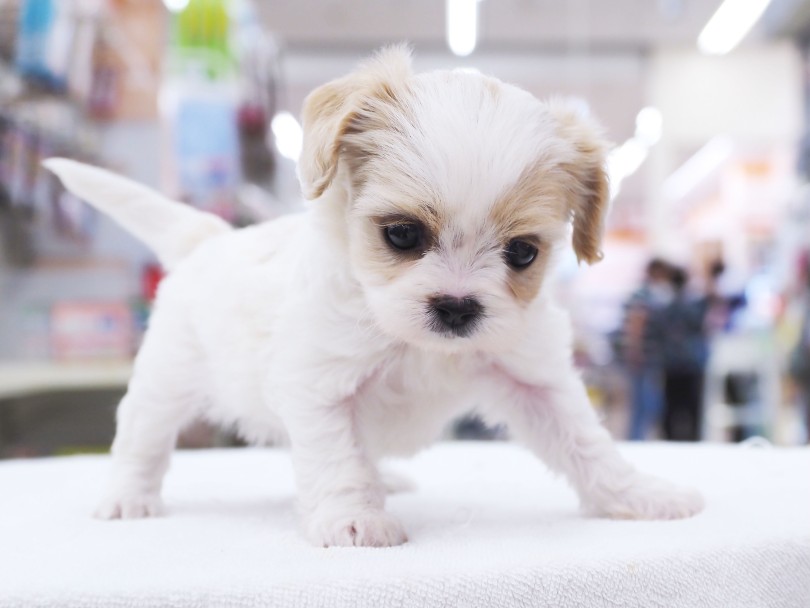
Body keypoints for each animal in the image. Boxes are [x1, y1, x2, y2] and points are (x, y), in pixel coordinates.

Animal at [45, 47, 700, 548]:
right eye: (402, 234)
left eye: (522, 253)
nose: (457, 306)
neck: (414, 343)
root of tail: (208, 238)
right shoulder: (321, 387)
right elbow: (337, 458)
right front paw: (352, 518)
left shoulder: (534, 377)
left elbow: (587, 443)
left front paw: (639, 494)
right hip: (168, 377)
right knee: (143, 437)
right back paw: (127, 497)